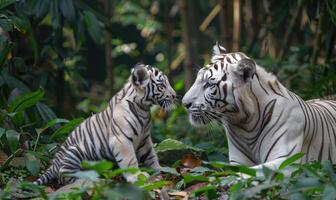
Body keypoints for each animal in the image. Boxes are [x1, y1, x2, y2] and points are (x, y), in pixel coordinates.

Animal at [33, 63, 176, 185]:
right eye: (162, 85)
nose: (175, 96)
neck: (144, 109)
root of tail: (53, 163)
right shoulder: (121, 139)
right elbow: (130, 160)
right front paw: (136, 176)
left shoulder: (144, 139)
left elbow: (151, 156)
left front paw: (161, 170)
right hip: (74, 151)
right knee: (64, 176)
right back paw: (91, 179)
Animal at [182, 43, 336, 170]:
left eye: (209, 84)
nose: (185, 104)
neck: (245, 123)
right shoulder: (237, 161)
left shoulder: (286, 160)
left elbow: (250, 172)